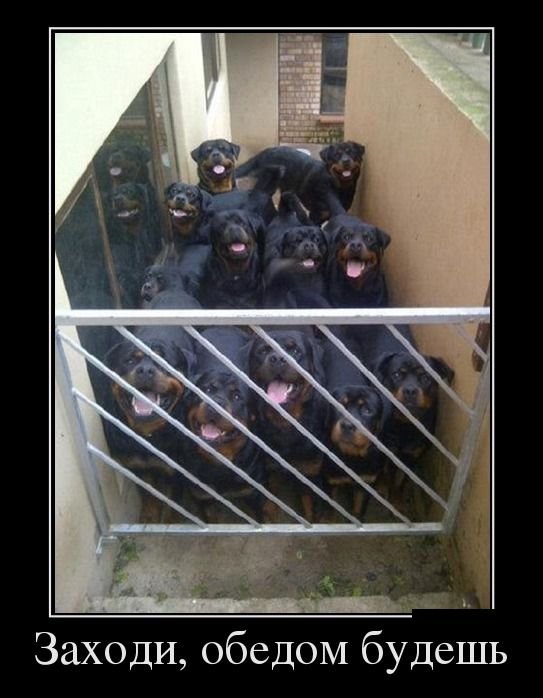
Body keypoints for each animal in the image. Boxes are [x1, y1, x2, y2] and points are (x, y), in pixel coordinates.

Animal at [235, 141, 365, 224]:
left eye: (352, 153)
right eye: (336, 155)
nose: (346, 161)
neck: (339, 187)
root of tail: (264, 152)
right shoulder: (315, 216)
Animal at [249, 328, 327, 520]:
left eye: (295, 350)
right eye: (263, 351)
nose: (277, 358)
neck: (285, 423)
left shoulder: (310, 475)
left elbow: (310, 510)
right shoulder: (270, 470)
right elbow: (271, 504)